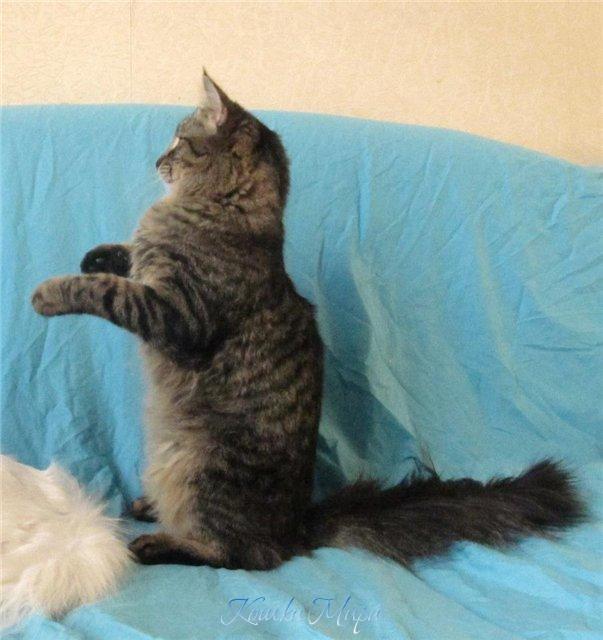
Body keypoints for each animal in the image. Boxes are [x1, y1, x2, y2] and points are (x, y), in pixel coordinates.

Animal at [31, 72, 584, 570]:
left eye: (180, 141)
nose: (156, 161)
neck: (220, 211)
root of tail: (298, 526)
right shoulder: (155, 278)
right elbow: (126, 258)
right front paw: (96, 255)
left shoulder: (180, 317)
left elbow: (110, 292)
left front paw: (49, 292)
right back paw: (149, 506)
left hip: (203, 464)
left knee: (239, 555)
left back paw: (157, 541)